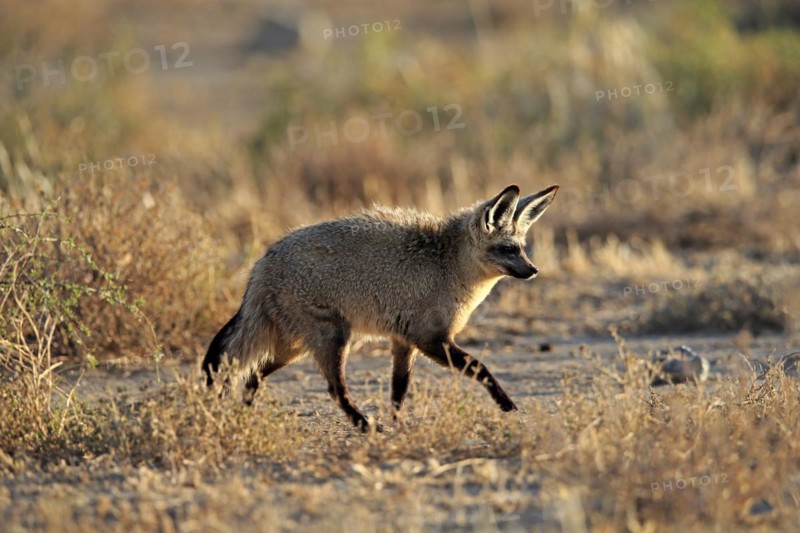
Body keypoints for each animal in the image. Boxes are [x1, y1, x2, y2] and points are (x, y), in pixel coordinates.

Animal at [202, 184, 559, 432]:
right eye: (508, 249)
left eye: (522, 248)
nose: (534, 270)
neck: (447, 264)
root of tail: (262, 263)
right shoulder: (431, 340)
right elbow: (480, 368)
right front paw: (505, 403)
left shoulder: (404, 341)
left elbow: (398, 391)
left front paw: (400, 424)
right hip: (332, 339)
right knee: (334, 389)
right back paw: (364, 425)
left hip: (294, 348)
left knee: (252, 375)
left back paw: (245, 413)